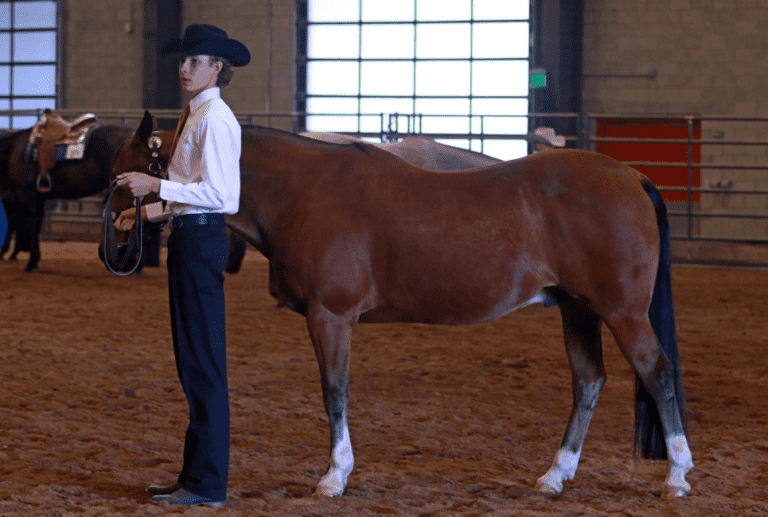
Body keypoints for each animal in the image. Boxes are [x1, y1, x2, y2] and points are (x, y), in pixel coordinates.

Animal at [0, 124, 137, 271]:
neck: (13, 150)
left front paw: (30, 262)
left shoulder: (25, 193)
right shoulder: (36, 196)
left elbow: (27, 222)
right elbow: (34, 223)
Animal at [105, 111, 693, 500]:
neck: (303, 192)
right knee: (589, 380)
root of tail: (631, 175)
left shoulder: (331, 316)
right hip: (577, 308)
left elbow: (334, 392)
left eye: (125, 171)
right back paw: (555, 476)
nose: (116, 232)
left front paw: (334, 476)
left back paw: (677, 475)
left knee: (657, 372)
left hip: (621, 311)